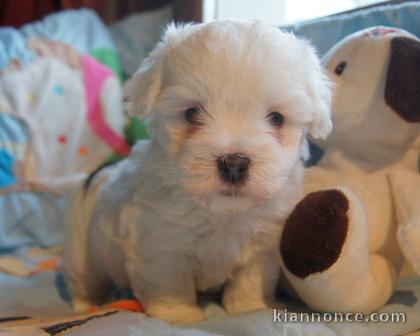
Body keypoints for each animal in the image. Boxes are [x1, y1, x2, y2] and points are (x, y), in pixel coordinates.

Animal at [64, 19, 332, 324]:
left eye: (277, 118)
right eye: (192, 113)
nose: (234, 164)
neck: (221, 212)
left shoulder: (263, 246)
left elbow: (250, 279)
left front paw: (249, 309)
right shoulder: (158, 244)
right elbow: (170, 283)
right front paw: (180, 317)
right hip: (81, 246)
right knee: (83, 278)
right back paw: (85, 307)